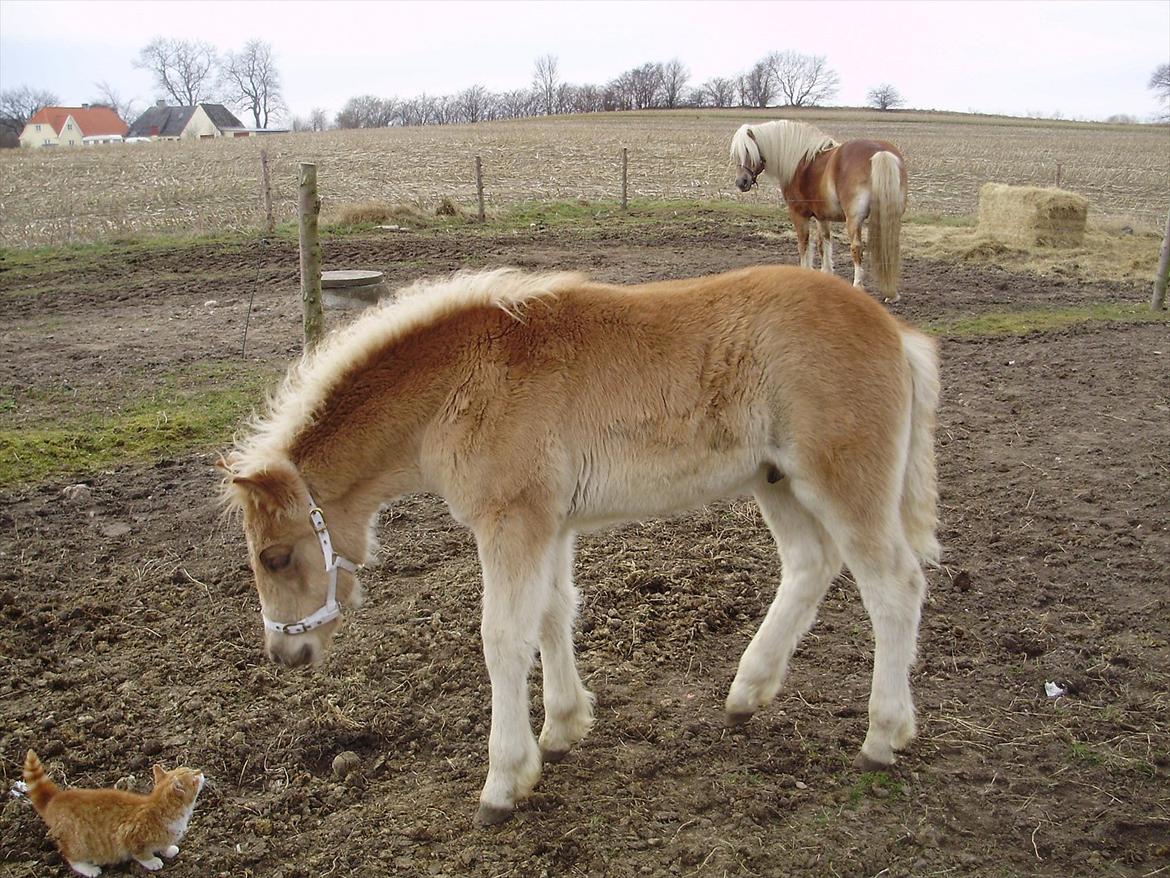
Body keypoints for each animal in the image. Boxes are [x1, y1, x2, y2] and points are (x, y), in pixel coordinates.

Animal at [23, 753, 205, 875]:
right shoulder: (130, 836)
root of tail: (56, 798)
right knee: (70, 857)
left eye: (189, 768)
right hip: (77, 842)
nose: (201, 771)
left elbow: (164, 845)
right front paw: (153, 861)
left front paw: (167, 849)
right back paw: (89, 869)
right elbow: (140, 854)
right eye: (194, 779)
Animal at [217, 264, 940, 828]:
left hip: (841, 480)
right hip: (777, 480)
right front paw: (562, 730)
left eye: (276, 557)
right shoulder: (549, 523)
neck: (464, 380)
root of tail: (895, 332)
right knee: (810, 565)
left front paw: (504, 782)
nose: (286, 653)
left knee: (894, 585)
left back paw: (882, 735)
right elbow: (552, 614)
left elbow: (503, 637)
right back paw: (747, 692)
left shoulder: (511, 521)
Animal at [730, 121, 912, 302]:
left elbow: (804, 244)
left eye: (748, 150)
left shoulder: (799, 215)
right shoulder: (822, 216)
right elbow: (824, 243)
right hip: (891, 217)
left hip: (854, 219)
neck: (800, 163)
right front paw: (826, 274)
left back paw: (858, 286)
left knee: (856, 248)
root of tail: (880, 152)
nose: (741, 182)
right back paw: (892, 294)